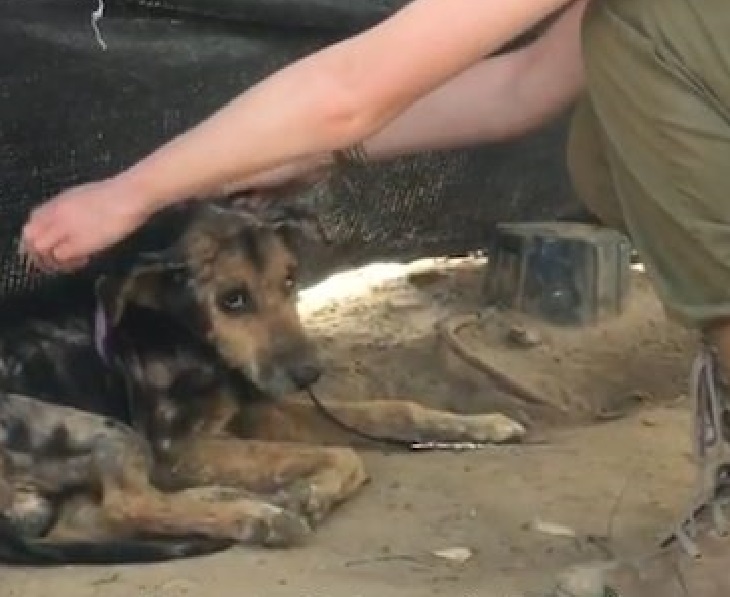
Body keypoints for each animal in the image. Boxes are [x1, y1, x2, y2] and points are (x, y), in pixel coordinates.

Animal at [0, 198, 524, 564]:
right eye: (232, 300)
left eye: (290, 280)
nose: (310, 373)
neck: (180, 327)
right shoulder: (177, 448)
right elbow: (344, 451)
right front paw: (308, 494)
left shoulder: (255, 407)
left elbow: (390, 410)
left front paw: (482, 424)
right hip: (103, 430)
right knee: (125, 504)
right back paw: (259, 516)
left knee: (88, 519)